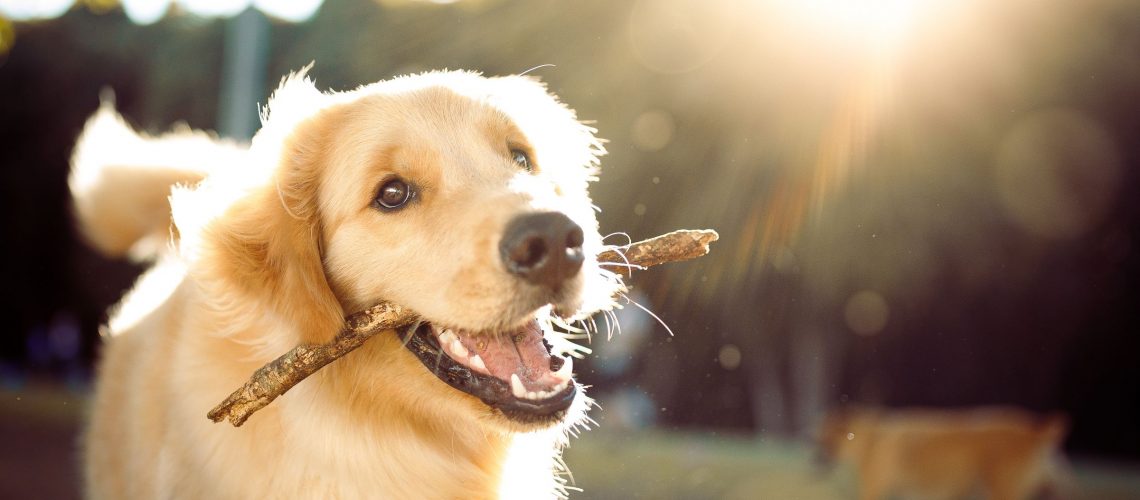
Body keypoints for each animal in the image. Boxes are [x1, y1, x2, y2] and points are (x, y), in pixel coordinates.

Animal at [816, 407, 1071, 500]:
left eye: (829, 442)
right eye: (819, 439)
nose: (817, 459)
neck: (871, 440)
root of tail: (1033, 434)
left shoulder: (873, 492)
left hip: (1003, 491)